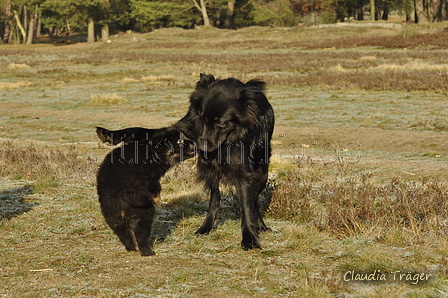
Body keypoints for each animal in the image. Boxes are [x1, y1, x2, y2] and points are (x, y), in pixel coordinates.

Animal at [96, 126, 191, 256]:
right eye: (179, 141)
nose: (195, 143)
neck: (153, 151)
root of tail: (122, 195)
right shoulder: (152, 177)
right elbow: (156, 187)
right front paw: (158, 199)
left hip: (113, 217)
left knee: (125, 235)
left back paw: (132, 248)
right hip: (144, 213)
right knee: (142, 234)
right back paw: (148, 252)